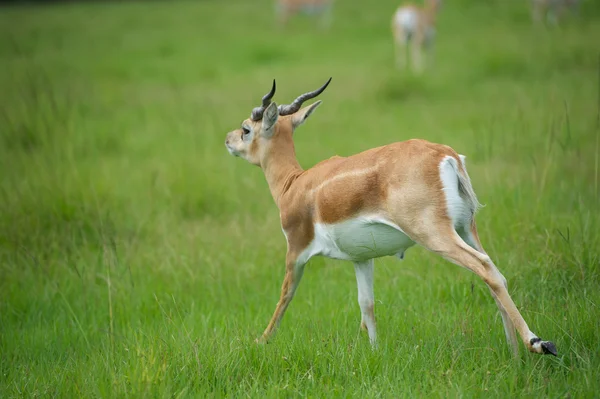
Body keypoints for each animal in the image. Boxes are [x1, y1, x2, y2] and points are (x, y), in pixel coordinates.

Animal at [224, 79, 556, 360]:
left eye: (246, 129)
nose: (228, 139)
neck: (294, 185)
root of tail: (446, 155)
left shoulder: (295, 251)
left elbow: (285, 297)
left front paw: (260, 341)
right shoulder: (361, 258)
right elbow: (367, 304)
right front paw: (373, 351)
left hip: (434, 234)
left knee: (485, 268)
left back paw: (538, 343)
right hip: (466, 229)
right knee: (495, 272)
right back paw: (514, 353)